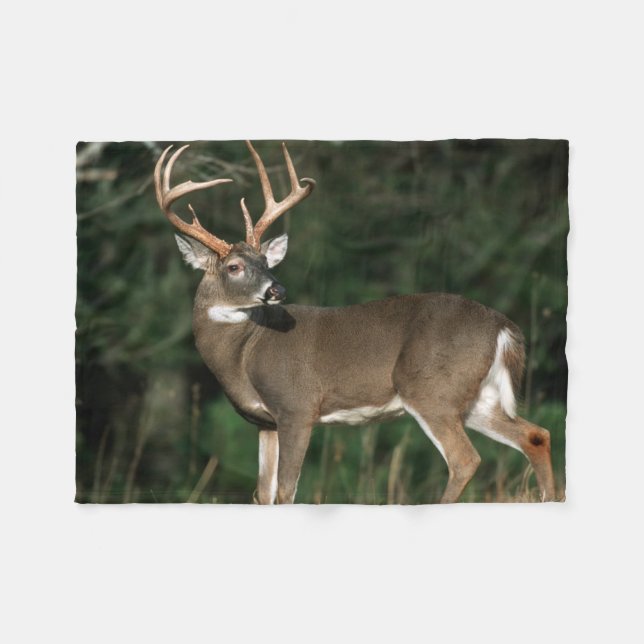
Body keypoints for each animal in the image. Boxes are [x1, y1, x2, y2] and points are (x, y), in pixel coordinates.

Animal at [154, 141, 556, 504]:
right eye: (235, 267)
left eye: (266, 262)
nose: (277, 289)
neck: (244, 353)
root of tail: (503, 327)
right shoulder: (265, 423)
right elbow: (262, 494)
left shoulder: (297, 406)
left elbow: (285, 491)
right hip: (475, 396)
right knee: (536, 435)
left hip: (431, 388)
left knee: (465, 459)